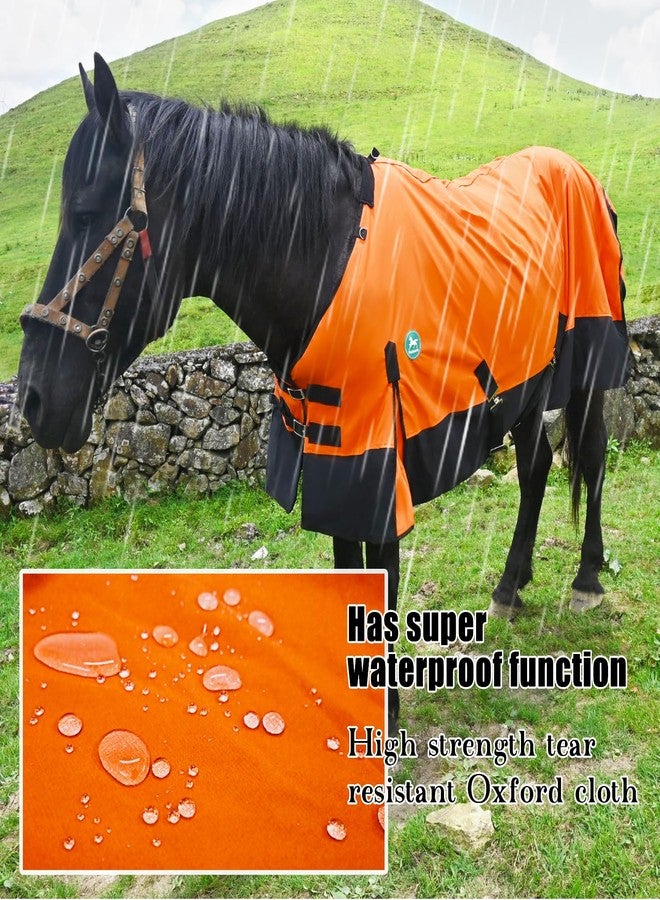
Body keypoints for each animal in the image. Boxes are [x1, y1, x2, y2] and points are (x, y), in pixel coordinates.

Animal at [18, 55, 630, 726]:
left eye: (84, 215)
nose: (32, 400)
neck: (329, 268)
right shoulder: (334, 455)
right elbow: (347, 566)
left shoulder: (377, 464)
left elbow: (381, 578)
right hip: (523, 385)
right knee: (538, 465)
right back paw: (509, 587)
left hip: (585, 366)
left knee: (589, 457)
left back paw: (587, 581)